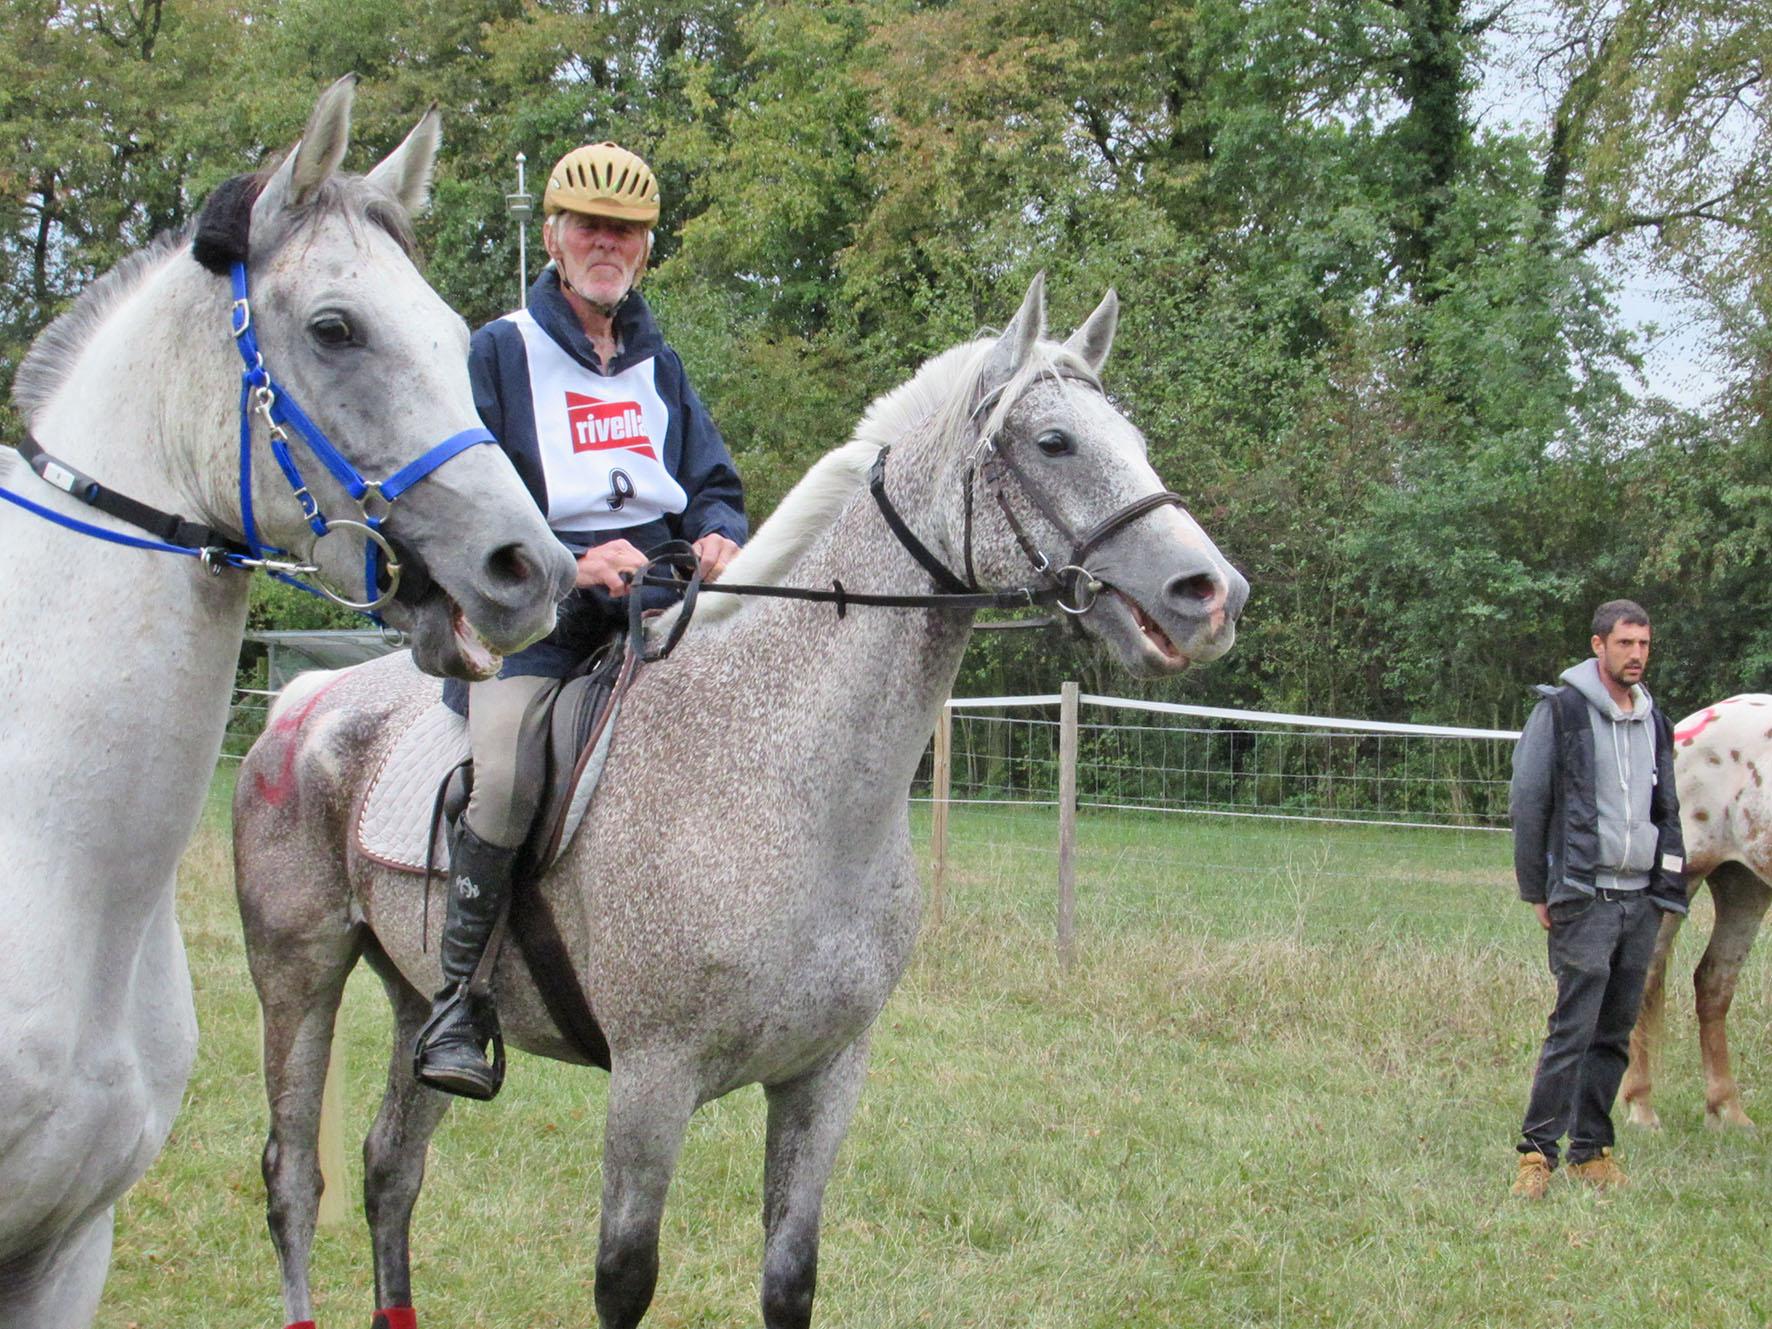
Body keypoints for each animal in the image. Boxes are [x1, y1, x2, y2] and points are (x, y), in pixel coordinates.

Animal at [235, 276, 1254, 1325]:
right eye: (1055, 442)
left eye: (1130, 437)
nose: (1213, 594)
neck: (782, 778)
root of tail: (304, 700)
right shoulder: (651, 1083)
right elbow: (624, 1278)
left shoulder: (823, 1078)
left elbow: (789, 1278)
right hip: (299, 976)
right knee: (293, 1176)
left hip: (414, 997)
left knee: (391, 1167)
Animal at [1623, 701, 1772, 1126]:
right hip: (1680, 882)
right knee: (1646, 978)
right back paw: (1641, 1109)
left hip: (1745, 888)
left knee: (1714, 983)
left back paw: (1728, 1110)